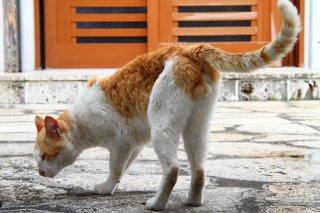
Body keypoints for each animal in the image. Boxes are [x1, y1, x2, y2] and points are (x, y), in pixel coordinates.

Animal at [34, 0, 300, 210]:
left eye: (45, 156)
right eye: (37, 159)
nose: (39, 173)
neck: (80, 124)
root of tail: (190, 49)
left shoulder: (120, 144)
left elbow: (115, 169)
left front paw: (106, 188)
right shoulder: (134, 145)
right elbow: (123, 168)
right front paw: (113, 186)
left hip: (162, 127)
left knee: (172, 168)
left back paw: (156, 204)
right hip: (196, 127)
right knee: (199, 169)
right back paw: (193, 201)